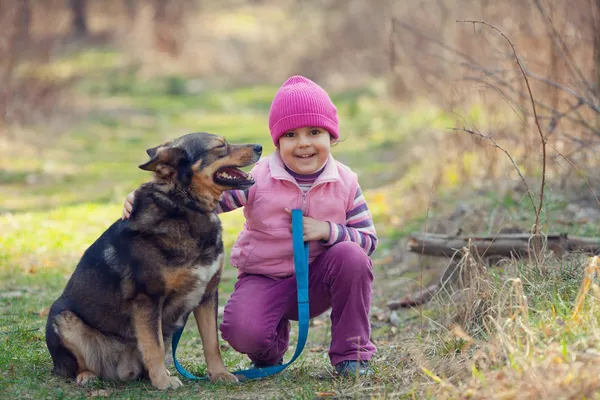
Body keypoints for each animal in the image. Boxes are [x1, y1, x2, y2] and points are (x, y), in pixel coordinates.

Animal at [45, 133, 262, 390]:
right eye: (220, 146)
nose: (260, 146)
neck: (184, 205)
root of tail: (120, 370)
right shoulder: (147, 299)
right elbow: (154, 346)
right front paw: (163, 382)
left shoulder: (207, 294)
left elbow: (211, 344)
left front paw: (219, 374)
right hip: (63, 318)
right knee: (74, 366)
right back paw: (88, 375)